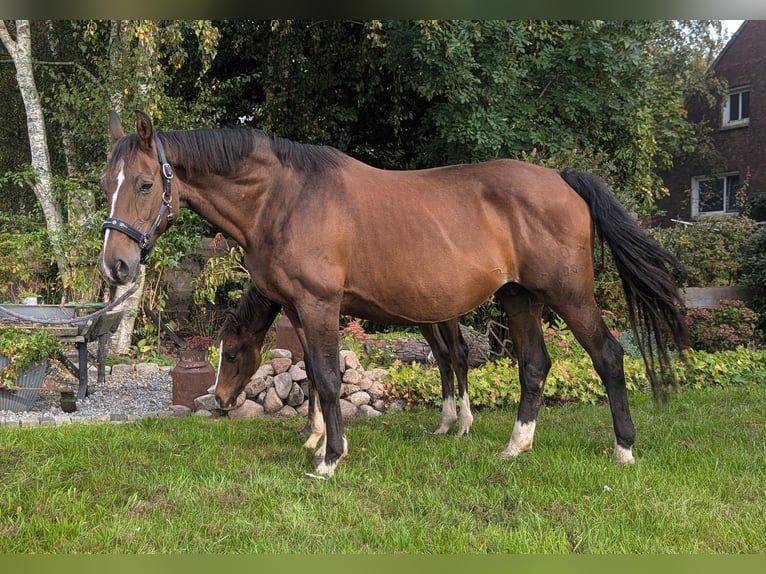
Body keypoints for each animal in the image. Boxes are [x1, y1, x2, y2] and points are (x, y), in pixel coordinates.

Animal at [216, 288, 474, 454]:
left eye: (230, 354)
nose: (219, 398)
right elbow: (311, 367)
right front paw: (311, 429)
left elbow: (317, 368)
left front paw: (316, 434)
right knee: (441, 354)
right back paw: (445, 424)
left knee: (458, 353)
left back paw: (463, 425)